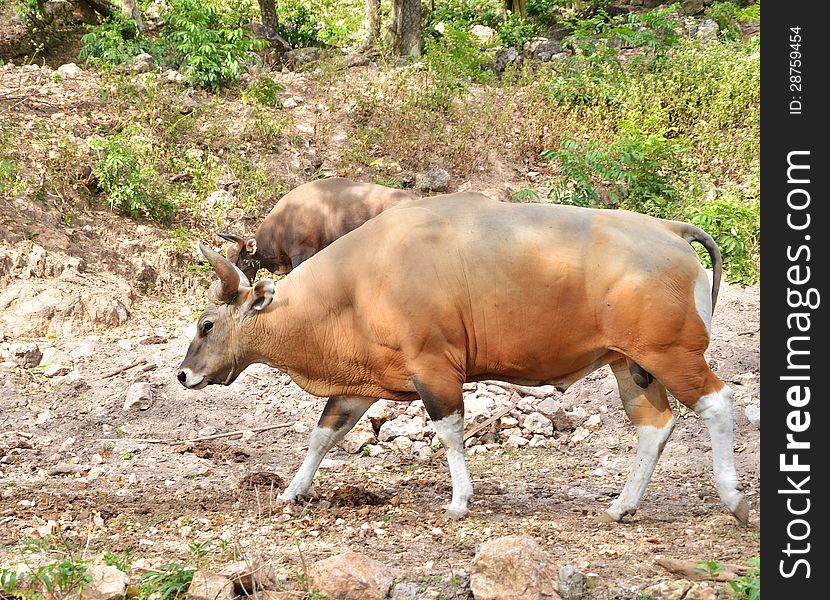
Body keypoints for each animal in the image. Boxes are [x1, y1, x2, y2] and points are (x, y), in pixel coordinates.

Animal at [179, 193, 752, 524]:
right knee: (654, 424)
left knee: (717, 401)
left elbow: (450, 431)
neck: (360, 282)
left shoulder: (434, 368)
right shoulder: (360, 384)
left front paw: (459, 500)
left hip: (672, 354)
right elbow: (324, 434)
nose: (184, 375)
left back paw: (733, 499)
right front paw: (293, 492)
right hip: (628, 363)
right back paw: (622, 505)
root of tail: (672, 230)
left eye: (207, 325)